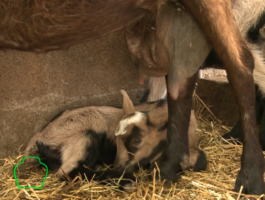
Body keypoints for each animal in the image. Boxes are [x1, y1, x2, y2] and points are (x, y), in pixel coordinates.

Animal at [1, 0, 262, 195]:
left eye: (136, 141)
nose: (120, 167)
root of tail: (36, 143)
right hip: (82, 138)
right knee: (69, 170)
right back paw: (122, 181)